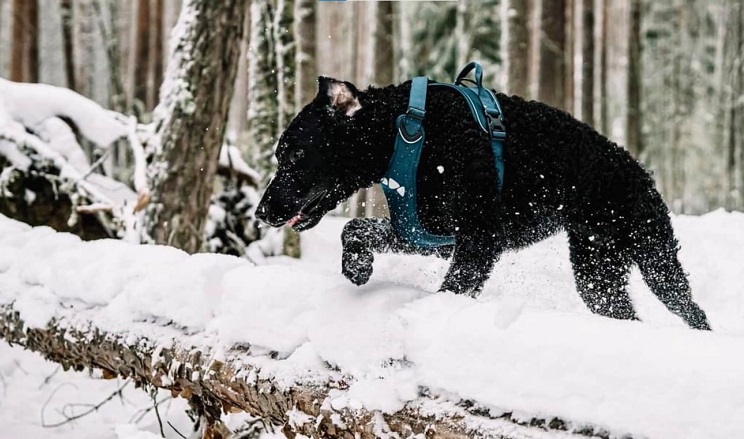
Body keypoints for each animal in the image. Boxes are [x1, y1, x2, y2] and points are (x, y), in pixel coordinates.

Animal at [256, 76, 708, 330]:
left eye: (296, 154)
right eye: (280, 155)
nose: (261, 213)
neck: (408, 133)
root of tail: (640, 171)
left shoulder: (477, 239)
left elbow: (451, 290)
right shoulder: (429, 234)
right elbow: (355, 229)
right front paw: (357, 267)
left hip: (656, 260)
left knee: (693, 311)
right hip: (598, 274)